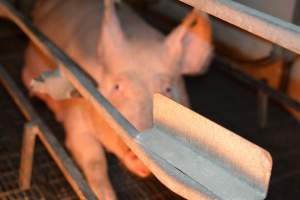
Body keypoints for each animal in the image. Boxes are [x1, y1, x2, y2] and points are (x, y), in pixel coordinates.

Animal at [21, 0, 211, 199]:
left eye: (168, 89)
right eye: (117, 87)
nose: (140, 157)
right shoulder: (76, 113)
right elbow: (94, 160)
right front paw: (105, 194)